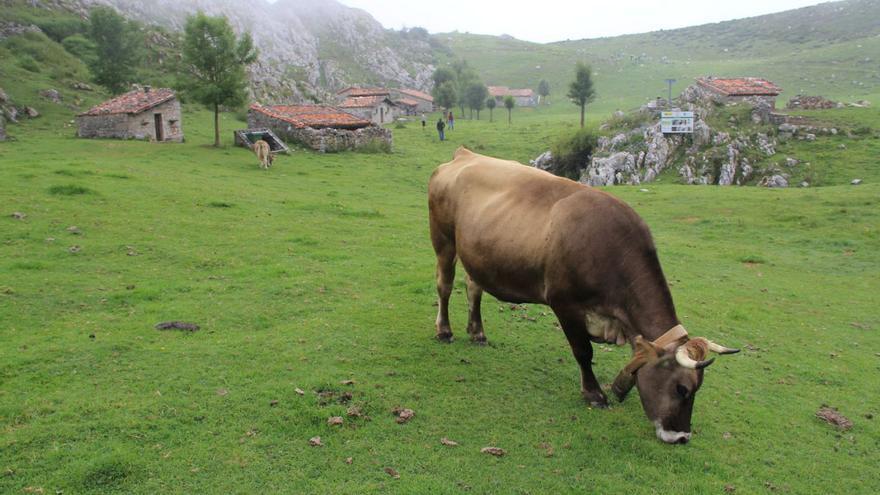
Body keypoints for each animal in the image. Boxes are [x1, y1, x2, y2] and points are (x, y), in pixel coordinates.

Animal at [430, 147, 740, 446]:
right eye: (682, 388)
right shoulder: (564, 304)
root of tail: (464, 154)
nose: (682, 437)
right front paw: (594, 394)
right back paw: (444, 331)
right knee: (444, 285)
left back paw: (477, 333)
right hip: (443, 241)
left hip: (477, 254)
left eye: (697, 388)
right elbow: (583, 351)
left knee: (473, 287)